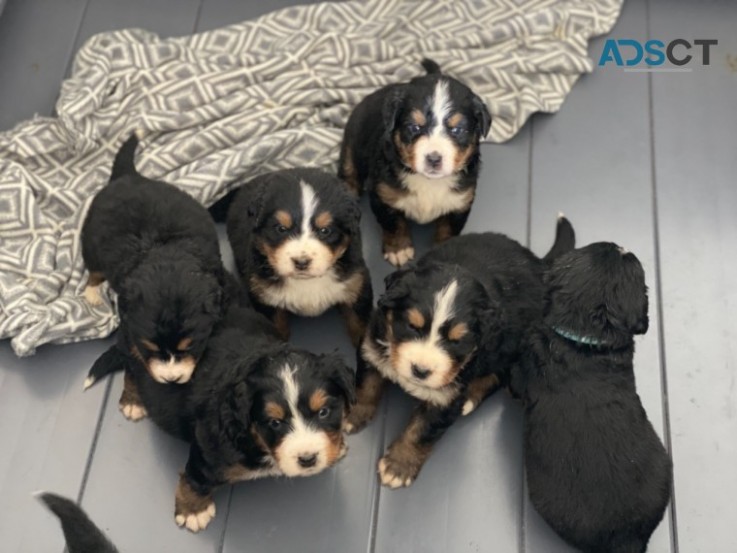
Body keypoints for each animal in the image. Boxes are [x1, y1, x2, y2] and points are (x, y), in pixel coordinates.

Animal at [80, 134, 227, 418]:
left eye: (190, 346)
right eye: (149, 348)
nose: (171, 379)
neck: (165, 251)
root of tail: (129, 175)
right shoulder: (130, 335)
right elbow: (132, 368)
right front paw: (133, 401)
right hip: (90, 241)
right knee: (94, 270)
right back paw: (92, 293)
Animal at [86, 304, 354, 532]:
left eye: (324, 412)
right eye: (274, 423)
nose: (308, 459)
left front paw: (337, 445)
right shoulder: (209, 450)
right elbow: (197, 478)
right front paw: (193, 510)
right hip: (137, 352)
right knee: (131, 369)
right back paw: (133, 401)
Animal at [338, 58, 488, 268]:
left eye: (457, 130)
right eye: (414, 127)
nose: (433, 158)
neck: (429, 182)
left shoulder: (460, 203)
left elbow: (447, 230)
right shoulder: (384, 195)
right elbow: (394, 225)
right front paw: (398, 250)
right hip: (352, 139)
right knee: (349, 169)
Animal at [344, 216, 576, 488]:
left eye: (457, 341)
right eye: (412, 326)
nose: (420, 371)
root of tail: (539, 265)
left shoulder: (446, 398)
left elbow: (420, 431)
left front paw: (398, 466)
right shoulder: (372, 346)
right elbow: (367, 386)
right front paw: (354, 414)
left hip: (511, 348)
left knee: (498, 375)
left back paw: (471, 399)